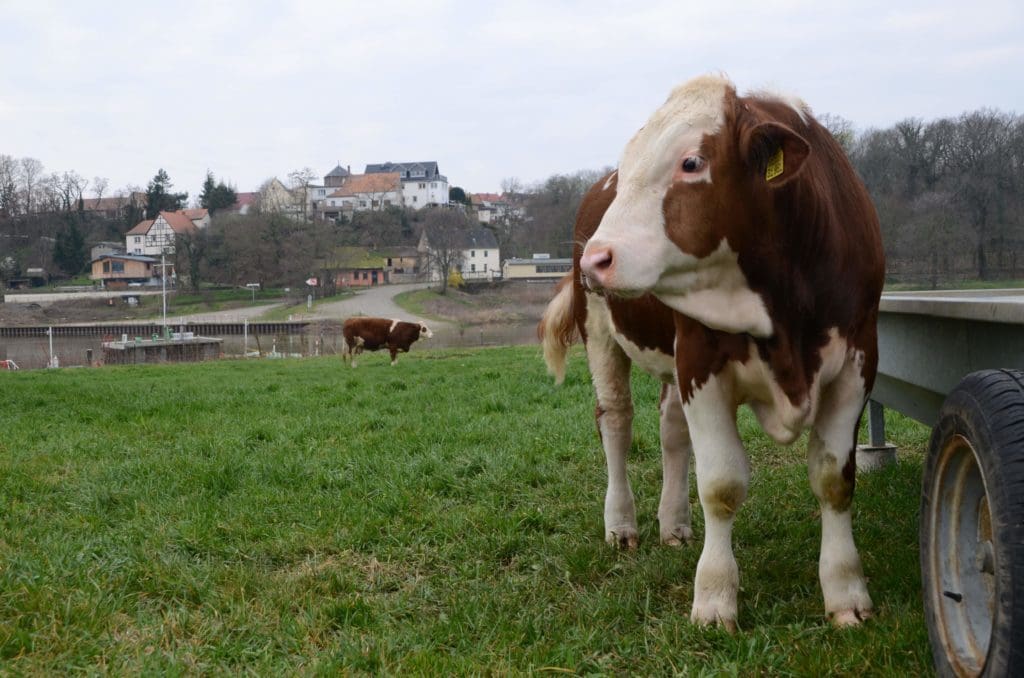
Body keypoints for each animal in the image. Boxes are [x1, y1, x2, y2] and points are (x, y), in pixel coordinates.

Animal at [540, 75, 884, 630]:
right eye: (630, 164)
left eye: (691, 162)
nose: (596, 258)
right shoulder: (701, 362)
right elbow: (722, 486)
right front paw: (716, 598)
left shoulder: (857, 364)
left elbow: (834, 480)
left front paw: (846, 592)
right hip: (601, 331)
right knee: (616, 420)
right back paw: (621, 524)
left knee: (671, 430)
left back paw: (674, 524)